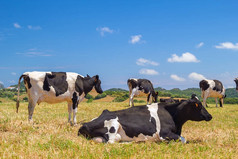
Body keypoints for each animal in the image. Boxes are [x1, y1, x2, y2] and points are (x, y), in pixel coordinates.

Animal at [78, 94, 212, 144]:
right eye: (198, 105)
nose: (210, 116)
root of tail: (84, 124)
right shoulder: (164, 133)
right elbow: (184, 139)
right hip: (113, 125)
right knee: (111, 142)